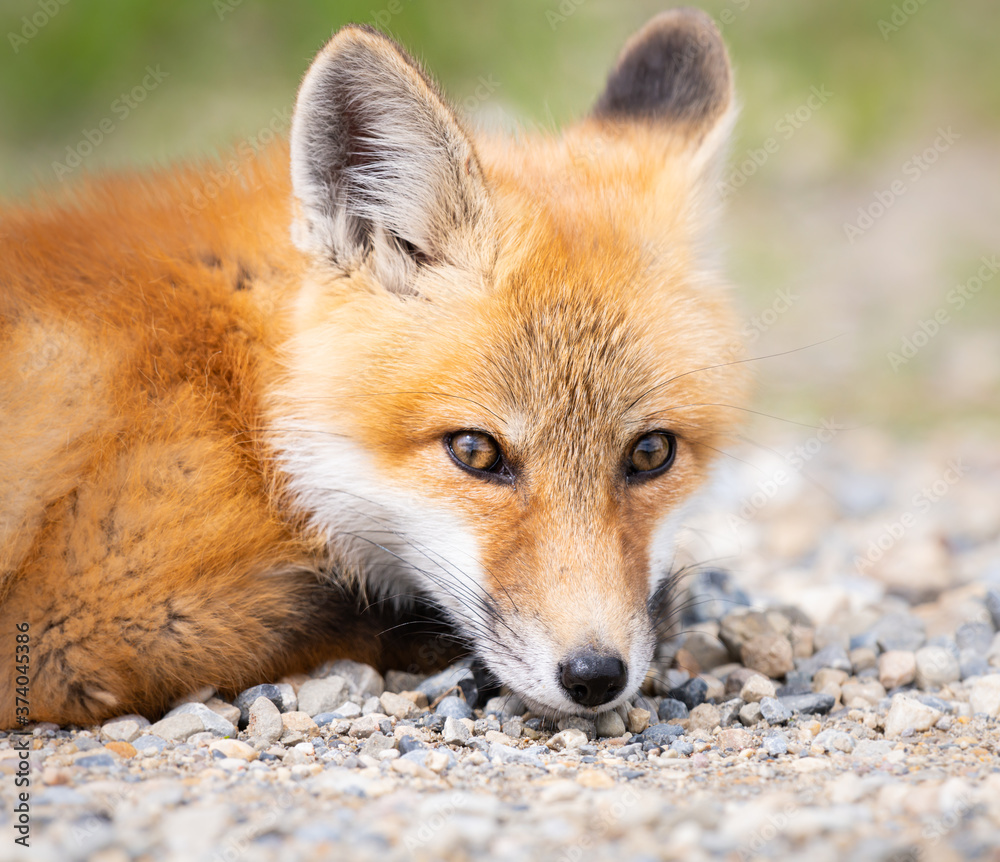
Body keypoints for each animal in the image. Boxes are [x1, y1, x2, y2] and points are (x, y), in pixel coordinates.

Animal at [0, 11, 744, 728]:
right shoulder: (76, 621)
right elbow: (352, 614)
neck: (243, 397)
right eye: (474, 451)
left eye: (651, 452)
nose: (594, 676)